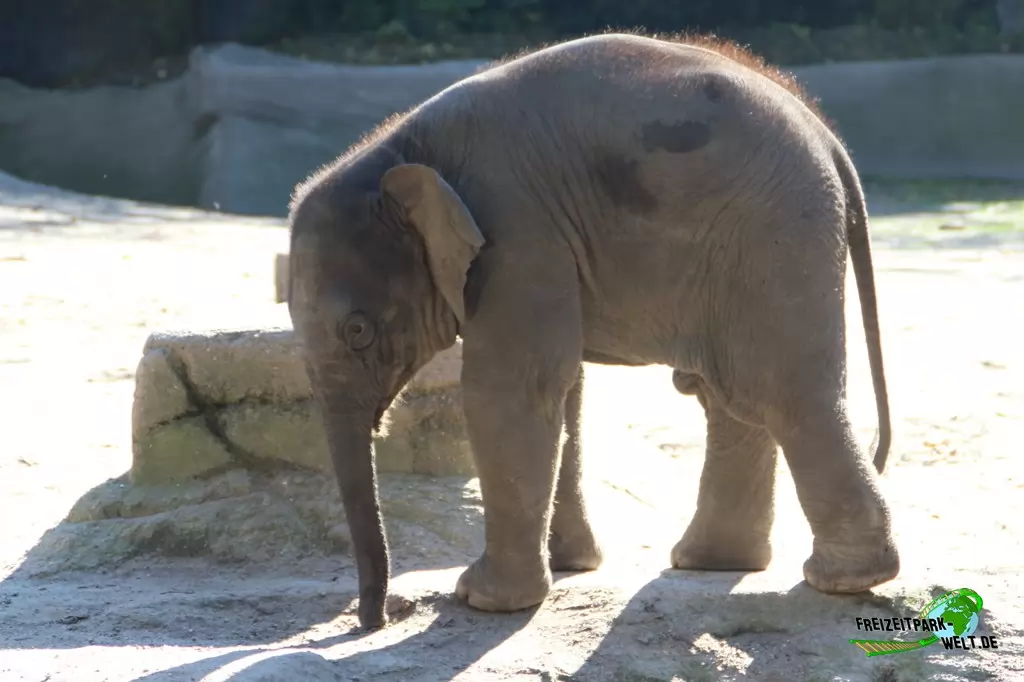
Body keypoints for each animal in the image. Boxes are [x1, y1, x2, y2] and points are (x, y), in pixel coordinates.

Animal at [286, 32, 899, 630]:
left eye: (358, 330)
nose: (383, 615)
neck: (403, 152)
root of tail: (829, 140)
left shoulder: (516, 229)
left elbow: (510, 389)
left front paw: (482, 599)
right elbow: (565, 389)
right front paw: (567, 566)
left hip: (774, 235)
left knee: (783, 395)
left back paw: (845, 579)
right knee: (732, 397)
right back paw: (712, 562)